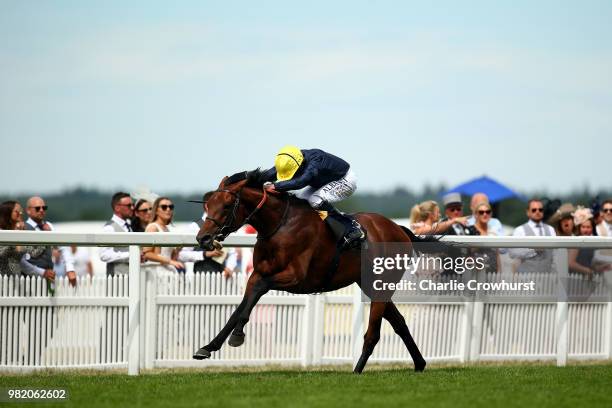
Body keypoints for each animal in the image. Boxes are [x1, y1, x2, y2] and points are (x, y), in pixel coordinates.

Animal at [194, 169, 438, 372]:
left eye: (227, 205)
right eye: (207, 205)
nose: (203, 238)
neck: (280, 225)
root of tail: (399, 228)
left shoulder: (296, 277)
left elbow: (257, 292)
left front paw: (237, 335)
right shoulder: (257, 274)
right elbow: (241, 306)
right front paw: (208, 347)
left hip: (381, 285)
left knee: (373, 333)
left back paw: (357, 372)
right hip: (369, 284)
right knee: (399, 322)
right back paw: (419, 364)